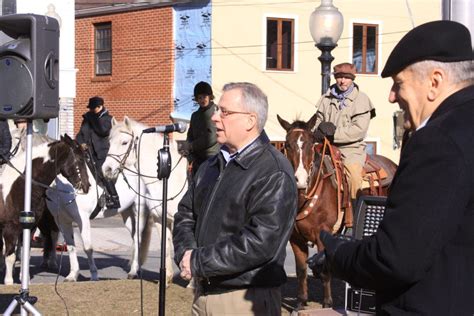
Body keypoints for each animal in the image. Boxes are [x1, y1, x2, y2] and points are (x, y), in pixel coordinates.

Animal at [103, 117, 188, 286]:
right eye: (109, 142)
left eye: (124, 142)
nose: (107, 169)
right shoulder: (160, 219)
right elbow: (166, 246)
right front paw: (166, 279)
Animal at [276, 113, 398, 308]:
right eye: (287, 144)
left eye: (311, 143)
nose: (300, 180)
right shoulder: (295, 237)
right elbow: (301, 270)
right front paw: (301, 302)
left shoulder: (323, 234)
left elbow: (325, 271)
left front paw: (327, 303)